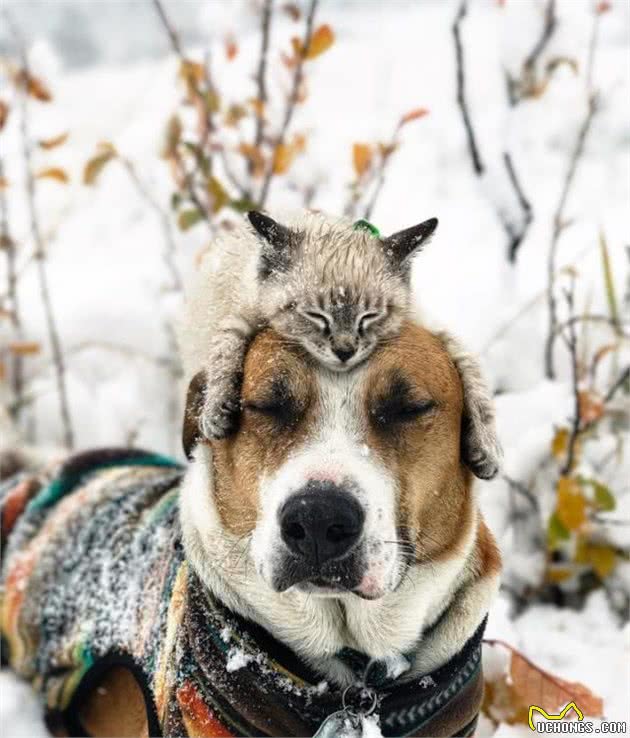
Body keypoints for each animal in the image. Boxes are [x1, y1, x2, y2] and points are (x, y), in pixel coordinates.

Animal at [180, 211, 440, 442]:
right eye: (316, 315)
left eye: (369, 316)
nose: (345, 352)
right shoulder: (239, 314)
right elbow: (224, 351)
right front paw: (216, 410)